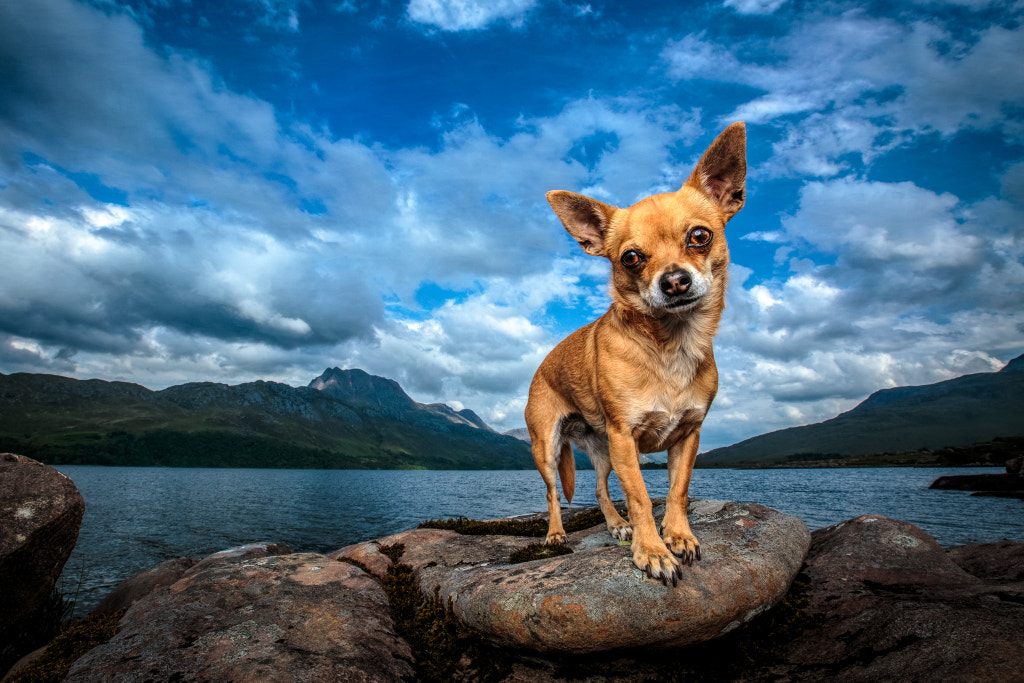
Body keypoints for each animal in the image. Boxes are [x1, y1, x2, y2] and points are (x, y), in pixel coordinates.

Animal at [524, 120, 749, 585]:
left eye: (700, 236)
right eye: (630, 258)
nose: (675, 281)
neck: (670, 345)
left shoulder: (687, 436)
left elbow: (677, 491)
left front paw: (678, 536)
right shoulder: (625, 437)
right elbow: (643, 498)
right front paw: (653, 552)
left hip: (602, 450)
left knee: (598, 487)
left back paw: (615, 525)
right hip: (549, 447)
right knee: (554, 493)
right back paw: (555, 535)